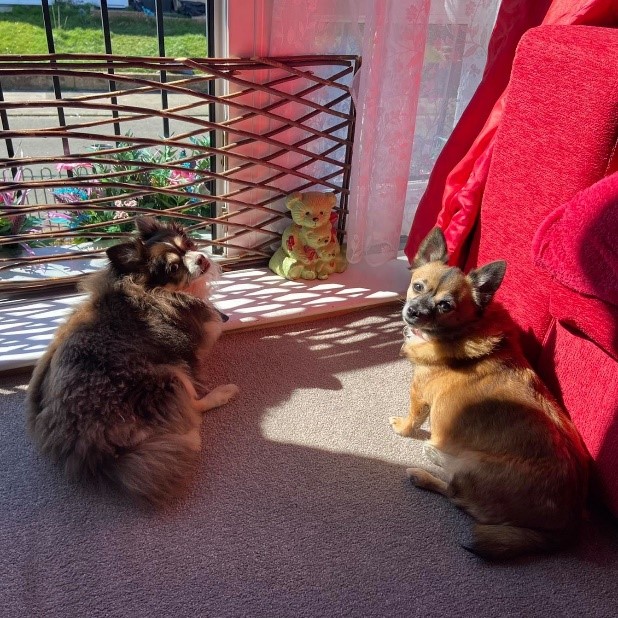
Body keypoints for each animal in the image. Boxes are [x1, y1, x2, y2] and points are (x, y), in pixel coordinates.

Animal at [27, 217, 238, 506]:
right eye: (173, 268)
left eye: (188, 244)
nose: (202, 258)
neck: (153, 291)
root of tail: (93, 451)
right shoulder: (188, 353)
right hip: (169, 376)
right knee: (194, 408)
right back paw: (220, 397)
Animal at [390, 226, 588, 560]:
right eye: (417, 286)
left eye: (445, 306)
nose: (414, 312)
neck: (464, 330)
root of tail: (565, 526)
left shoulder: (419, 391)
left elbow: (412, 420)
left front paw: (402, 427)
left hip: (474, 469)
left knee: (456, 495)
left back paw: (424, 470)